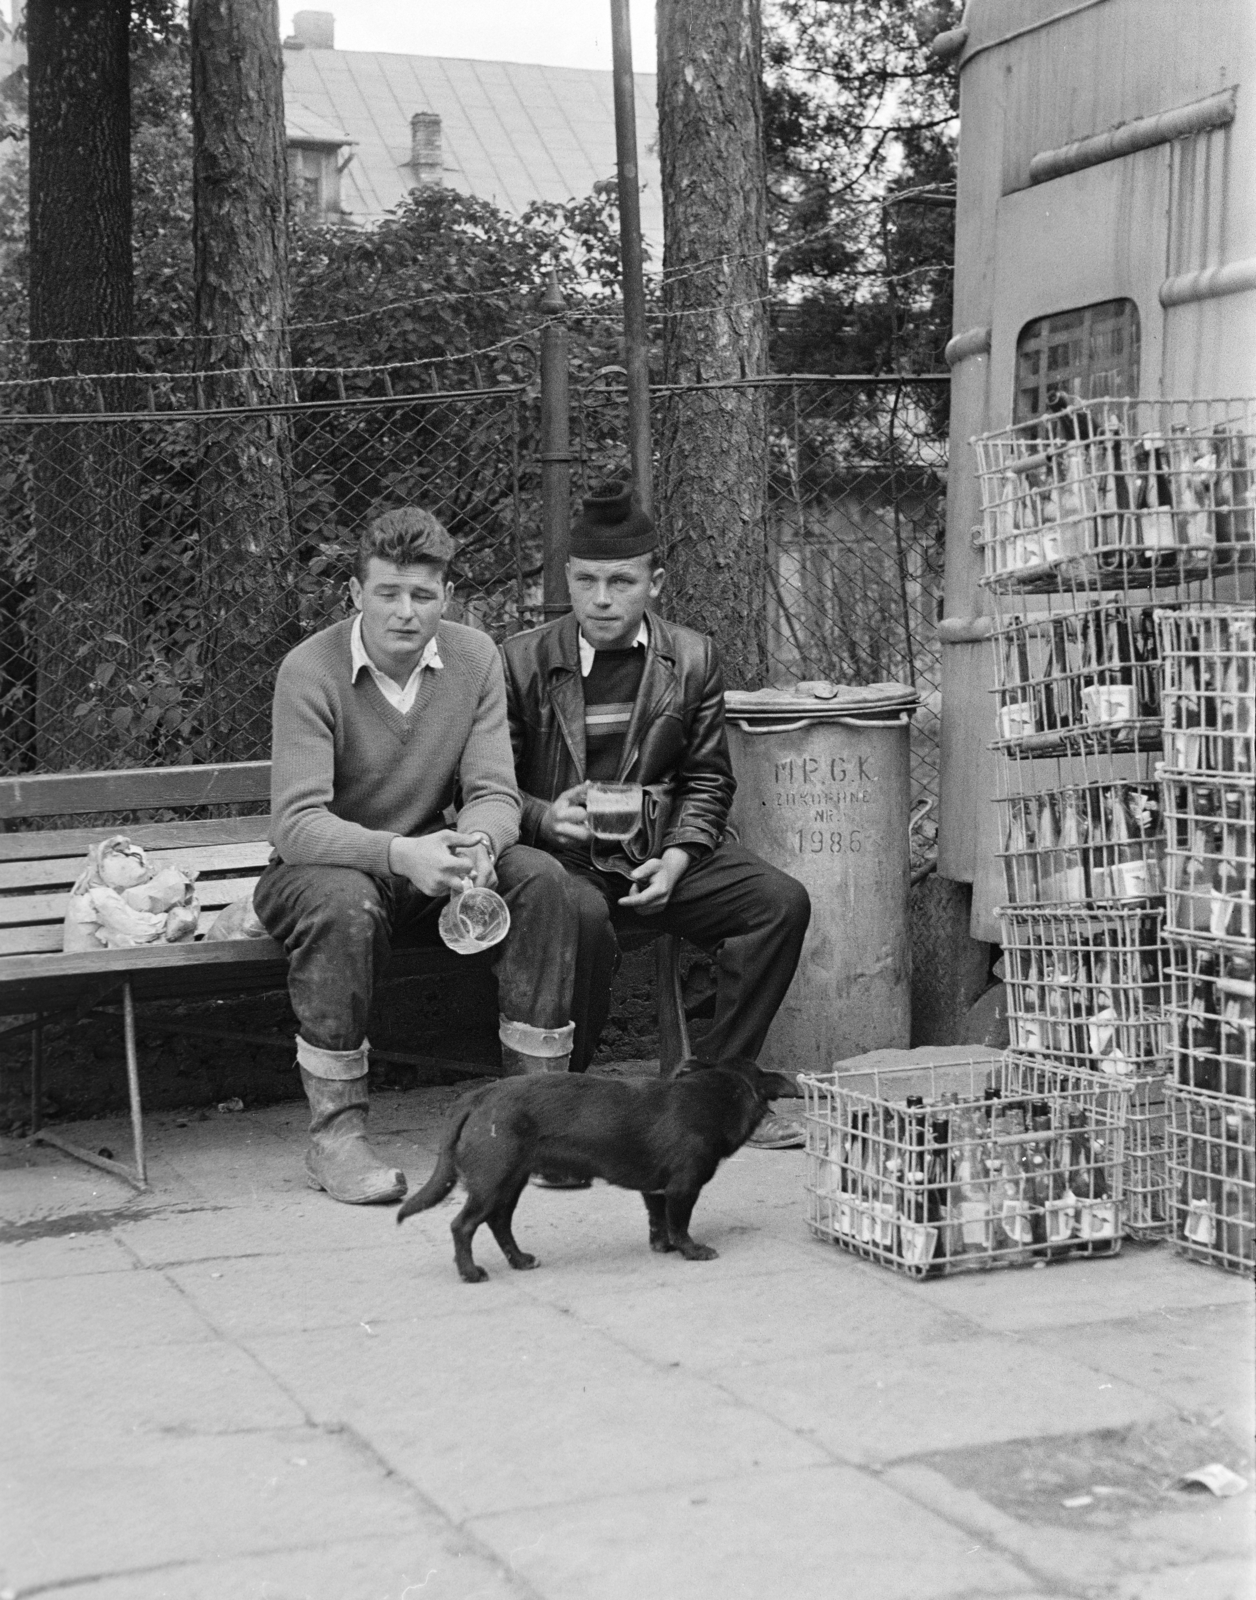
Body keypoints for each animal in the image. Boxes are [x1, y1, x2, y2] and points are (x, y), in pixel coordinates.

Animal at [396, 1056, 790, 1280]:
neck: (717, 1094)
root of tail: (477, 1097)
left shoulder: (655, 1191)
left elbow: (657, 1222)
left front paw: (662, 1247)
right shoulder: (683, 1188)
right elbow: (680, 1225)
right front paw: (691, 1251)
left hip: (510, 1183)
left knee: (499, 1223)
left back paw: (520, 1261)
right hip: (492, 1183)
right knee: (462, 1226)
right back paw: (470, 1273)